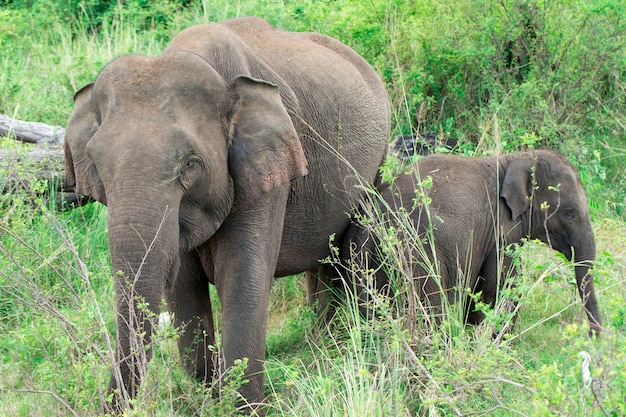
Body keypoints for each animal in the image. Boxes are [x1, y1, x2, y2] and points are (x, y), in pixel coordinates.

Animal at [63, 16, 388, 412]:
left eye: (190, 164)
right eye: (95, 163)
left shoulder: (265, 170)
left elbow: (240, 279)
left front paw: (243, 408)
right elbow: (184, 289)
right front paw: (210, 396)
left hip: (377, 160)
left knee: (354, 244)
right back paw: (323, 334)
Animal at [332, 150, 600, 334]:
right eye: (570, 214)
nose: (593, 336)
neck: (515, 158)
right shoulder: (499, 232)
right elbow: (498, 285)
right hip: (418, 258)